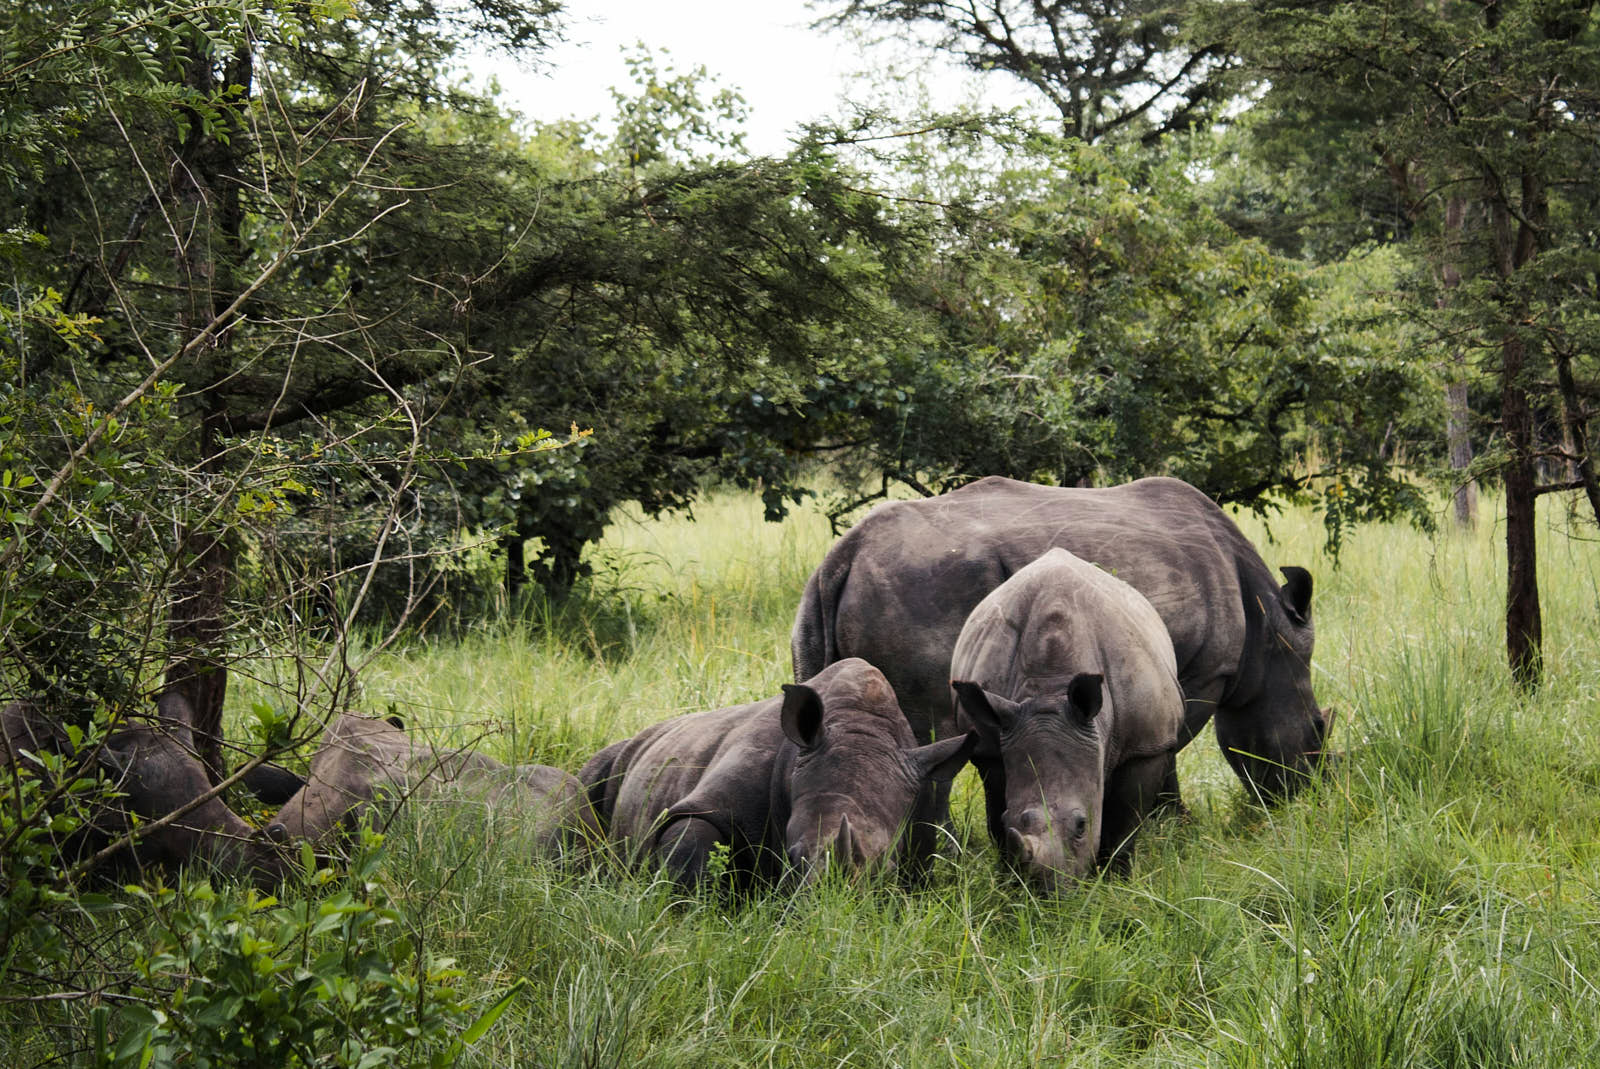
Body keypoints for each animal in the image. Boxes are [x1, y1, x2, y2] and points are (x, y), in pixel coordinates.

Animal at [577, 658, 977, 890]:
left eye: (889, 872)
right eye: (794, 858)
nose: (827, 909)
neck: (859, 724)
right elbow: (691, 848)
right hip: (620, 755)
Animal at [793, 476, 1329, 810]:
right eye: (1318, 731)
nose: (1306, 799)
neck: (1268, 637)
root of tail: (843, 555)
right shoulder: (1205, 671)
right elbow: (1171, 744)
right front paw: (1172, 825)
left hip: (815, 609)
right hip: (921, 584)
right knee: (930, 736)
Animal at [949, 548, 1185, 889]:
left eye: (1081, 825)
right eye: (1010, 820)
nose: (1047, 893)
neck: (1050, 691)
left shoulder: (1147, 745)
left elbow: (1124, 824)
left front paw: (1116, 882)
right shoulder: (992, 746)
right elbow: (996, 817)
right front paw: (1009, 882)